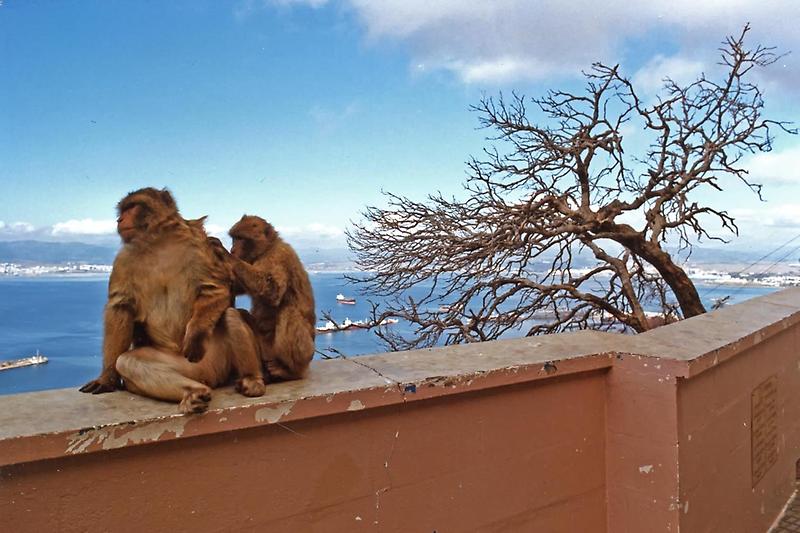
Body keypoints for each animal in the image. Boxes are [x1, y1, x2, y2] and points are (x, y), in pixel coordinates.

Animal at [82, 187, 268, 412]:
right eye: (123, 209)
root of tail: (207, 375)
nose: (120, 219)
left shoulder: (198, 243)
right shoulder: (123, 259)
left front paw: (195, 336)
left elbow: (215, 288)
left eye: (133, 206)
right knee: (127, 362)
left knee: (231, 315)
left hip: (218, 359)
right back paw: (194, 393)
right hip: (183, 367)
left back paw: (252, 380)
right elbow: (120, 307)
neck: (158, 242)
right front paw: (106, 378)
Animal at [212, 214, 318, 380]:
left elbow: (272, 291)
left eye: (241, 238)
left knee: (289, 312)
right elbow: (237, 286)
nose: (233, 249)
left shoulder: (277, 257)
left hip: (300, 353)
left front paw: (224, 253)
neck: (267, 249)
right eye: (234, 238)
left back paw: (289, 371)